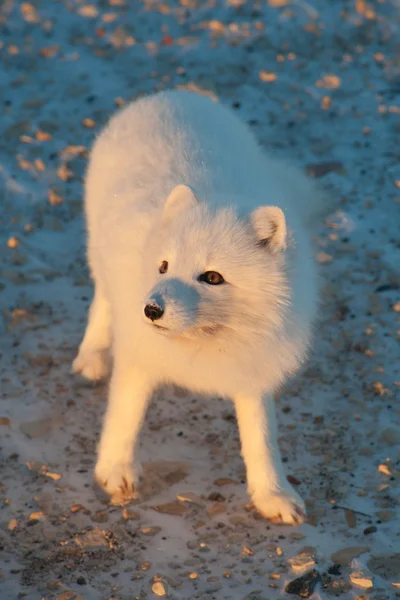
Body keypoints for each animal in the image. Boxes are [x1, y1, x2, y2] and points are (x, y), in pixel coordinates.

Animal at [73, 90, 324, 524]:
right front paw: (115, 470)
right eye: (163, 266)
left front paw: (273, 495)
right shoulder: (140, 355)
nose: (150, 310)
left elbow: (261, 438)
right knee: (101, 302)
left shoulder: (252, 369)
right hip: (99, 255)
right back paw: (92, 355)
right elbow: (125, 415)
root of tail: (170, 95)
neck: (203, 340)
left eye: (212, 277)